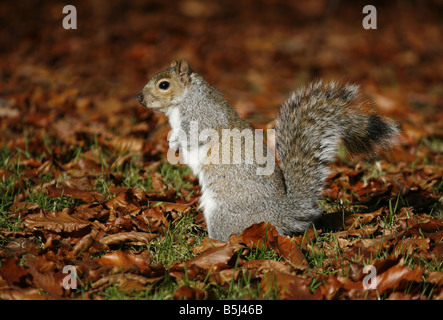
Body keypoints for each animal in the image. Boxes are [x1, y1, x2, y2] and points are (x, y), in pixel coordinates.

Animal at [137, 59, 400, 240]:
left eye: (163, 85)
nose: (139, 98)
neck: (185, 99)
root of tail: (277, 218)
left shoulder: (203, 118)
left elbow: (193, 134)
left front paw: (174, 140)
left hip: (222, 213)